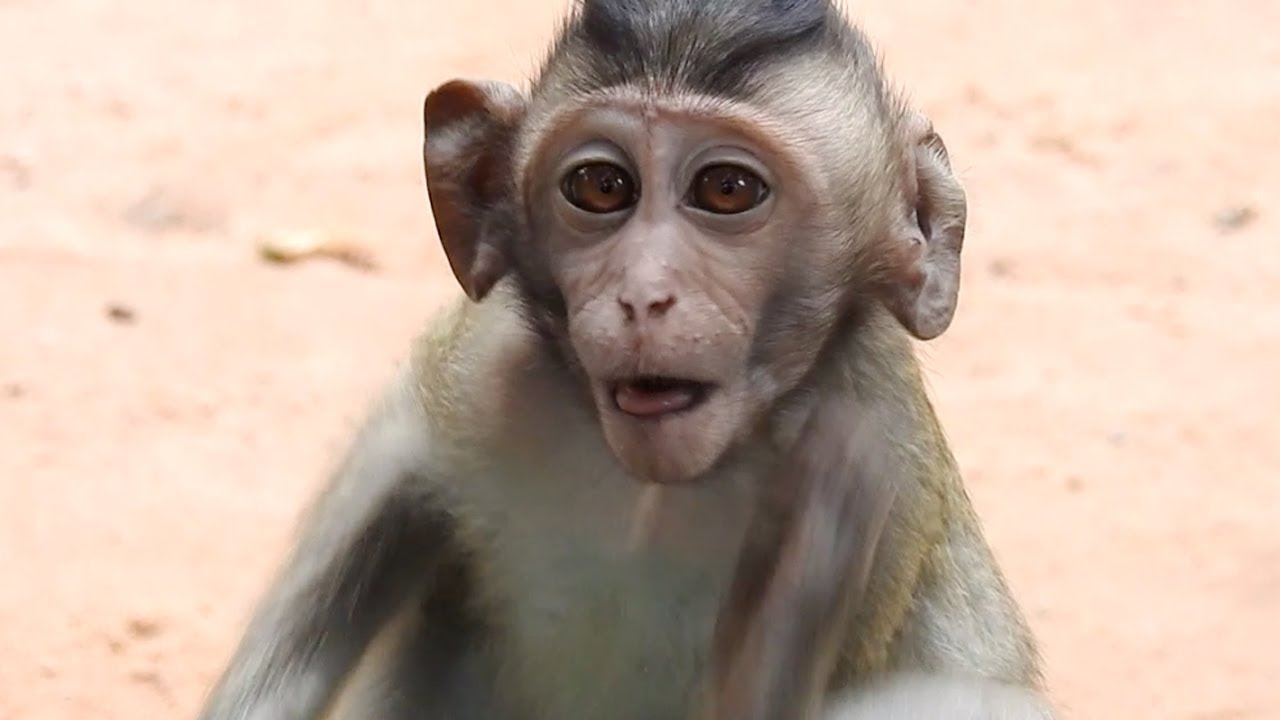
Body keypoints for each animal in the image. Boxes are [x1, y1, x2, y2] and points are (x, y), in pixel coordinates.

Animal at [194, 1, 1056, 719]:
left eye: (728, 189)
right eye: (602, 186)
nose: (643, 294)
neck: (654, 489)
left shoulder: (883, 456)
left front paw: (796, 579)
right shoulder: (471, 367)